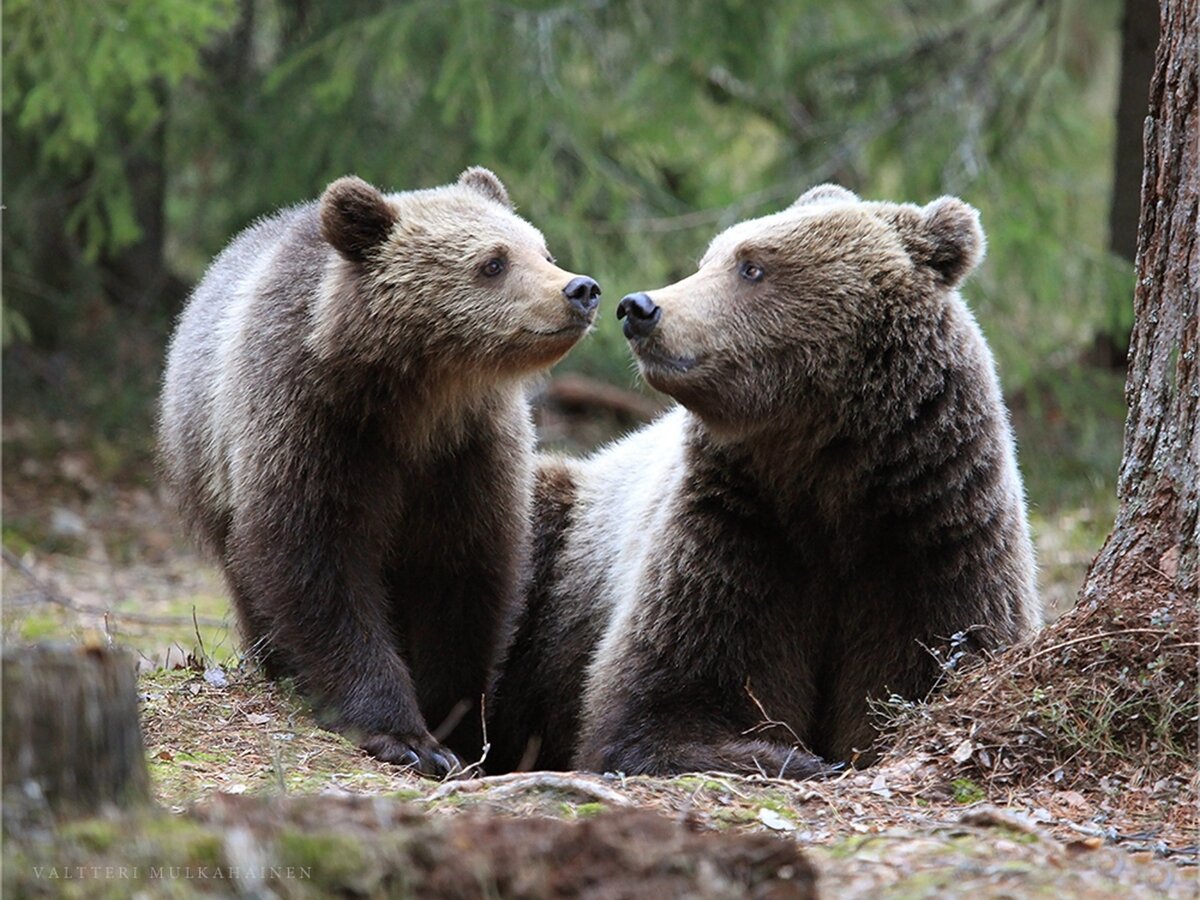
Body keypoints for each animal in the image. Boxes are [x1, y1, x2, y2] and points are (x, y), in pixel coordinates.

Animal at [157, 168, 600, 777]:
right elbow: (320, 567)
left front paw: (456, 728)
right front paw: (405, 735)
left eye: (543, 250)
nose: (581, 289)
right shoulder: (315, 427)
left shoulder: (468, 454)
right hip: (209, 463)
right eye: (493, 262)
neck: (415, 401)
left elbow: (462, 579)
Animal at [487, 184, 1041, 782]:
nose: (639, 307)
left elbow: (933, 660)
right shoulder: (735, 528)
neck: (826, 472)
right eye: (709, 258)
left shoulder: (932, 534)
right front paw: (797, 758)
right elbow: (663, 699)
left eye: (751, 265)